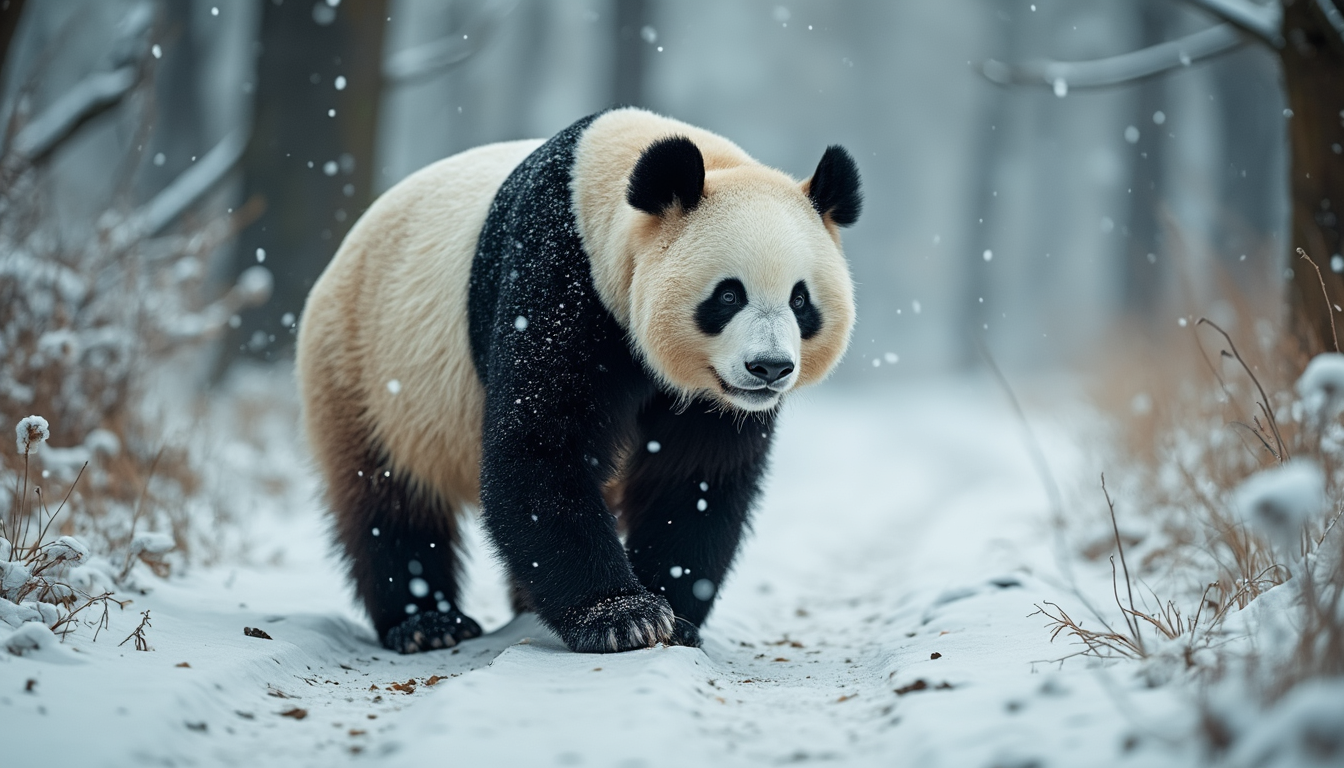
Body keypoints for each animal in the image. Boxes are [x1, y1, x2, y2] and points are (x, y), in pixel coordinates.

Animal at [296, 108, 860, 654]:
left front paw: (674, 617)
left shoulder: (711, 398)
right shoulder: (557, 276)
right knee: (387, 498)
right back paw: (426, 623)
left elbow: (695, 477)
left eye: (800, 300)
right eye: (728, 295)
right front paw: (622, 618)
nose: (769, 368)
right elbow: (539, 447)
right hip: (362, 366)